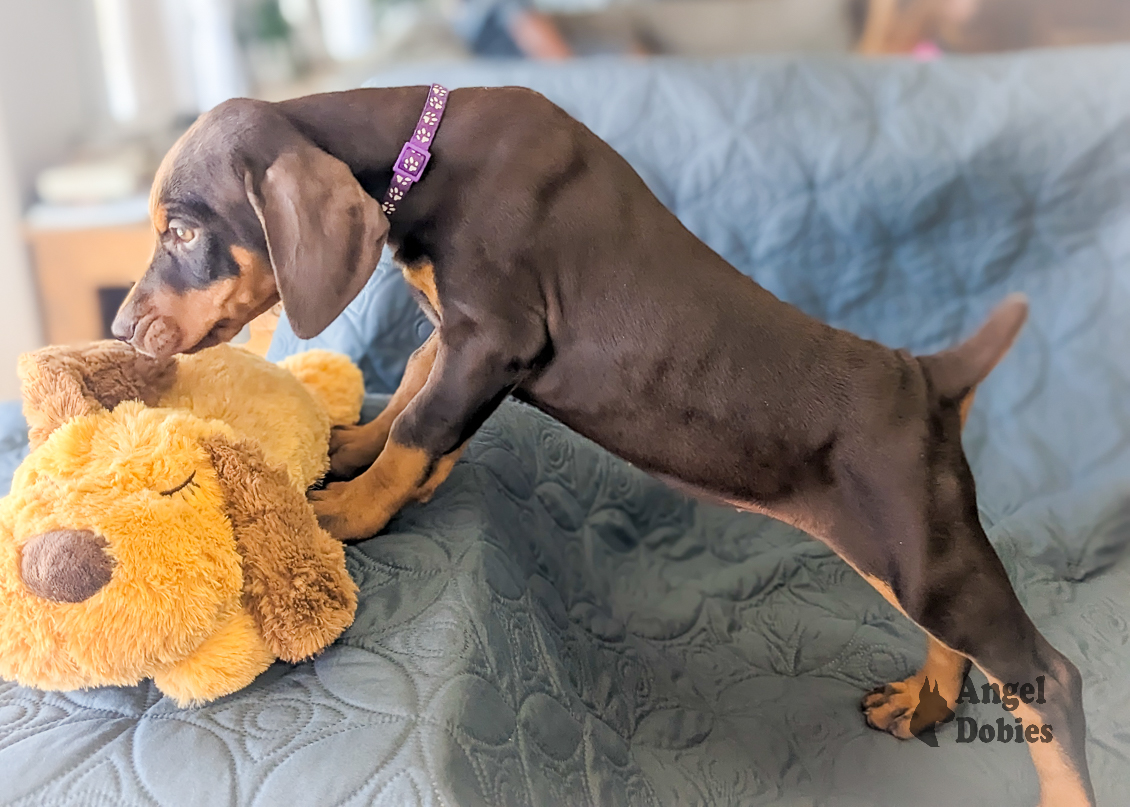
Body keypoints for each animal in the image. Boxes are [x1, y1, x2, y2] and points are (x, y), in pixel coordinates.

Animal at [114, 84, 1093, 800]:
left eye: (184, 230)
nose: (121, 329)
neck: (422, 152)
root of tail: (930, 378)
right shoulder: (458, 332)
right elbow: (415, 403)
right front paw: (353, 451)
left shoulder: (498, 332)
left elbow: (422, 424)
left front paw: (347, 512)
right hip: (904, 552)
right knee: (960, 644)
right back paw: (924, 706)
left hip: (922, 552)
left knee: (1047, 675)